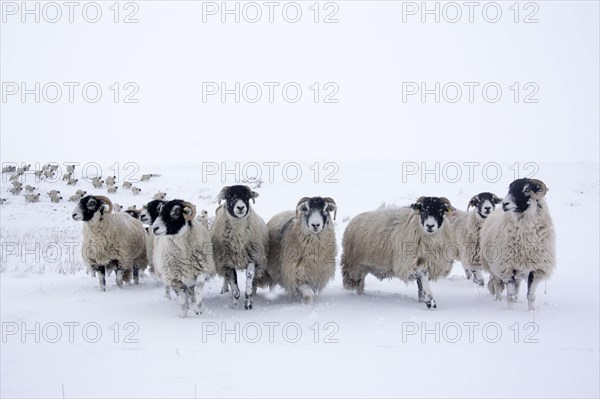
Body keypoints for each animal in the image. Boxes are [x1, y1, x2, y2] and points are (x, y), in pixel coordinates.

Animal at [478, 180, 556, 310]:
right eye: (510, 189)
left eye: (527, 190)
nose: (504, 204)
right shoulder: (507, 268)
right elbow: (509, 294)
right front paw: (509, 310)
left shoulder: (535, 270)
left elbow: (531, 296)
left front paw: (531, 311)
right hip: (494, 266)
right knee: (497, 284)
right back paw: (498, 300)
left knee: (517, 285)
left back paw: (517, 300)